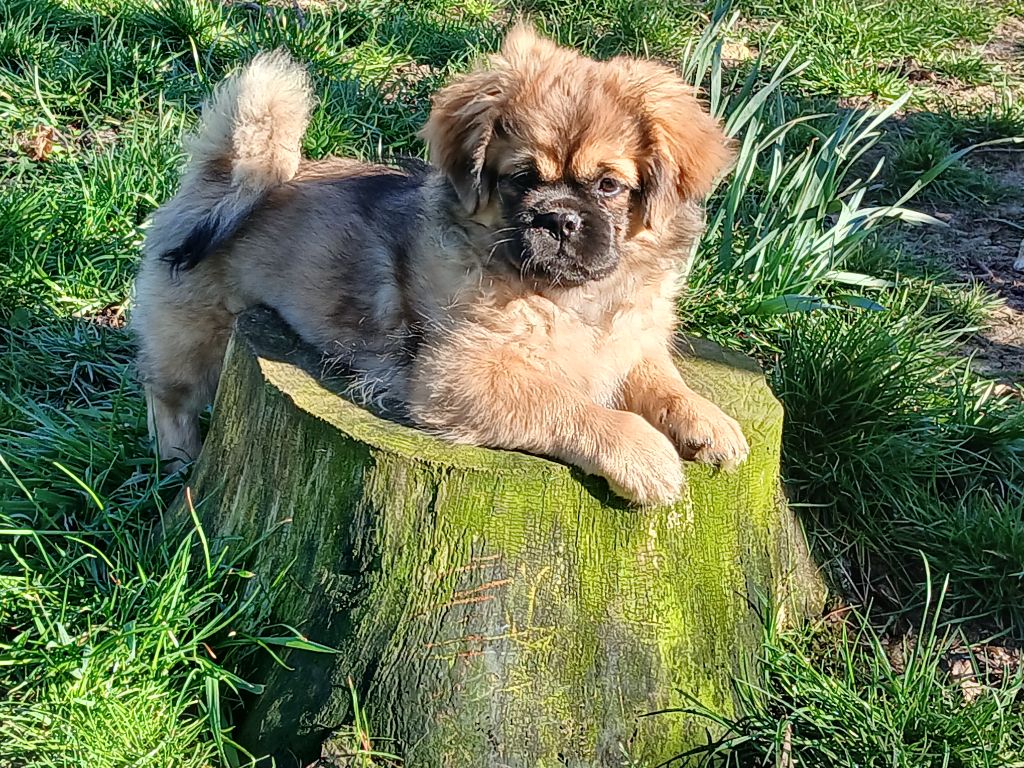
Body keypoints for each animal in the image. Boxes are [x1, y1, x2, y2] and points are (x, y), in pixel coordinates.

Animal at [132, 25, 749, 505]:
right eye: (521, 179)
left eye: (608, 186)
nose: (556, 218)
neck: (567, 300)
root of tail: (223, 174)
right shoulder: (462, 375)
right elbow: (571, 406)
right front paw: (645, 454)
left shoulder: (630, 345)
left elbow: (662, 383)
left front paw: (708, 423)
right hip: (194, 332)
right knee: (166, 397)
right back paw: (179, 460)